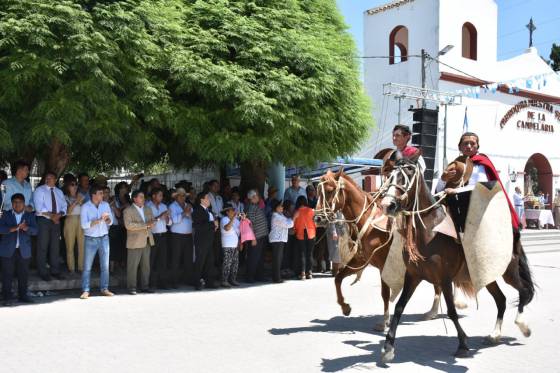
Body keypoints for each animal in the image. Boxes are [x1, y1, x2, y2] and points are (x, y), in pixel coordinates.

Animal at [378, 153, 536, 362]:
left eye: (409, 172)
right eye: (390, 174)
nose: (387, 205)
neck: (430, 231)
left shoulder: (444, 278)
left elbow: (452, 311)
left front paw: (462, 344)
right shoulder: (413, 276)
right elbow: (399, 307)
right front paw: (388, 347)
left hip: (507, 271)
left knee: (524, 291)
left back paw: (523, 326)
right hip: (486, 275)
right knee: (501, 300)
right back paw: (494, 335)